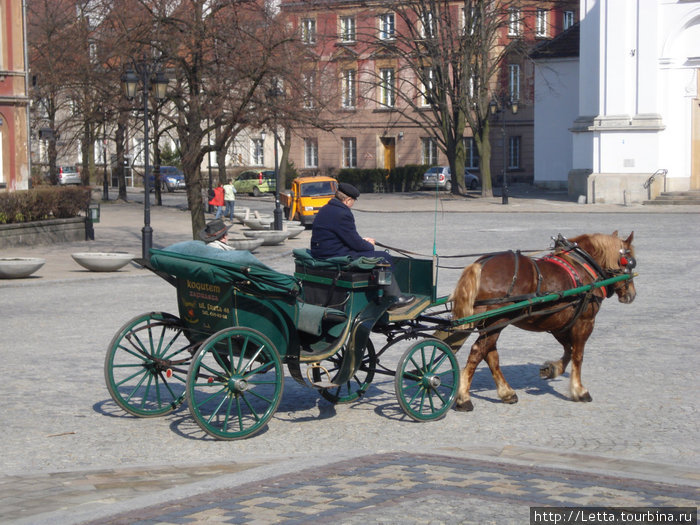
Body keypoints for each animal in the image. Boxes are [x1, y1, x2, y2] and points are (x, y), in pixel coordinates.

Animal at [452, 232, 636, 410]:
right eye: (630, 261)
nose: (632, 294)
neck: (583, 267)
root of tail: (481, 263)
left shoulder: (559, 322)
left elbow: (568, 350)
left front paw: (552, 369)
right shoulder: (585, 322)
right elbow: (578, 355)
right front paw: (579, 390)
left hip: (488, 321)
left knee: (490, 354)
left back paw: (506, 393)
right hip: (498, 320)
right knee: (478, 351)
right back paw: (464, 398)